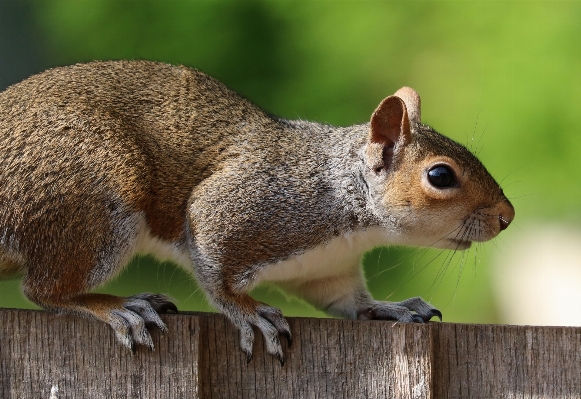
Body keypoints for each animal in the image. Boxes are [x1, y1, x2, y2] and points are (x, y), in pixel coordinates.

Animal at [0, 60, 512, 366]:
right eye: (440, 176)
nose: (507, 216)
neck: (343, 198)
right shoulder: (243, 206)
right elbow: (218, 273)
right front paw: (248, 313)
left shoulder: (326, 269)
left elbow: (350, 302)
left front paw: (392, 307)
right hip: (94, 196)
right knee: (44, 289)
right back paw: (117, 307)